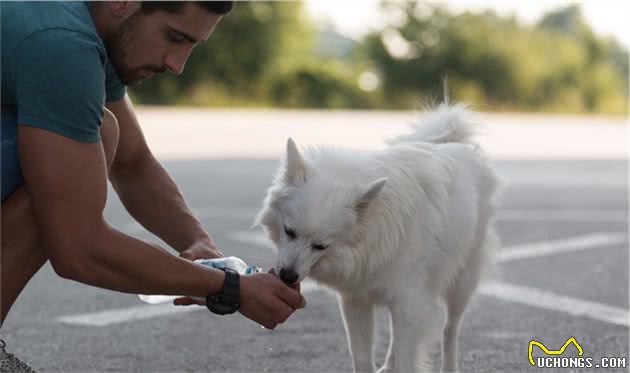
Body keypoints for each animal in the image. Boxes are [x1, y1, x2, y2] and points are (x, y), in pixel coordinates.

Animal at [256, 103, 498, 370]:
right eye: (289, 231)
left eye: (321, 246)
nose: (288, 276)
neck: (370, 237)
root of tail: (456, 144)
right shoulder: (357, 299)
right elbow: (362, 357)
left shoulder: (409, 304)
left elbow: (407, 359)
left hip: (461, 285)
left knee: (450, 330)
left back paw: (449, 366)